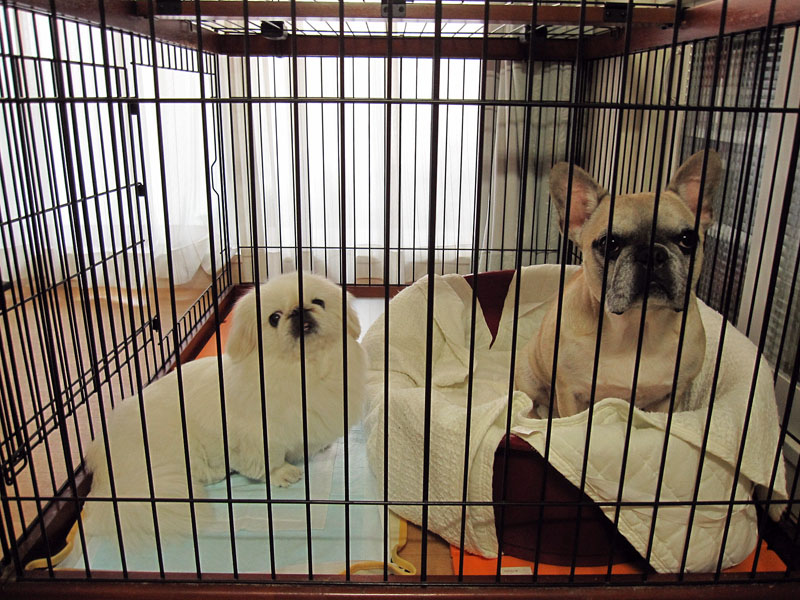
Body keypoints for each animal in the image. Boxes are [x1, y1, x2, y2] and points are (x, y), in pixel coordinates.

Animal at [83, 272, 366, 544]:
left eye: (319, 302)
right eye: (274, 318)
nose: (298, 310)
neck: (304, 368)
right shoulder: (258, 435)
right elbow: (269, 459)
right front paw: (282, 473)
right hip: (181, 446)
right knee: (198, 473)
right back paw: (221, 470)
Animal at [516, 150, 722, 418]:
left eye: (687, 239)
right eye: (609, 243)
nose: (651, 254)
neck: (636, 329)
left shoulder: (669, 396)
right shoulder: (570, 391)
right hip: (527, 373)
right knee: (528, 404)